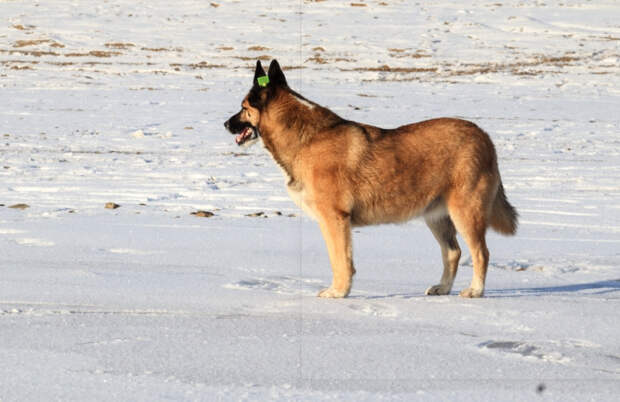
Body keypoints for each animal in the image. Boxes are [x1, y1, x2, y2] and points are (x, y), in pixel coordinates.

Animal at [224, 60, 520, 298]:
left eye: (243, 107)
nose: (226, 124)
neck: (305, 137)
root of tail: (484, 137)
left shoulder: (335, 219)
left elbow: (340, 261)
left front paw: (338, 293)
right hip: (436, 215)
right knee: (453, 252)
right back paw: (443, 288)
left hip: (465, 211)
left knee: (481, 253)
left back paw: (475, 291)